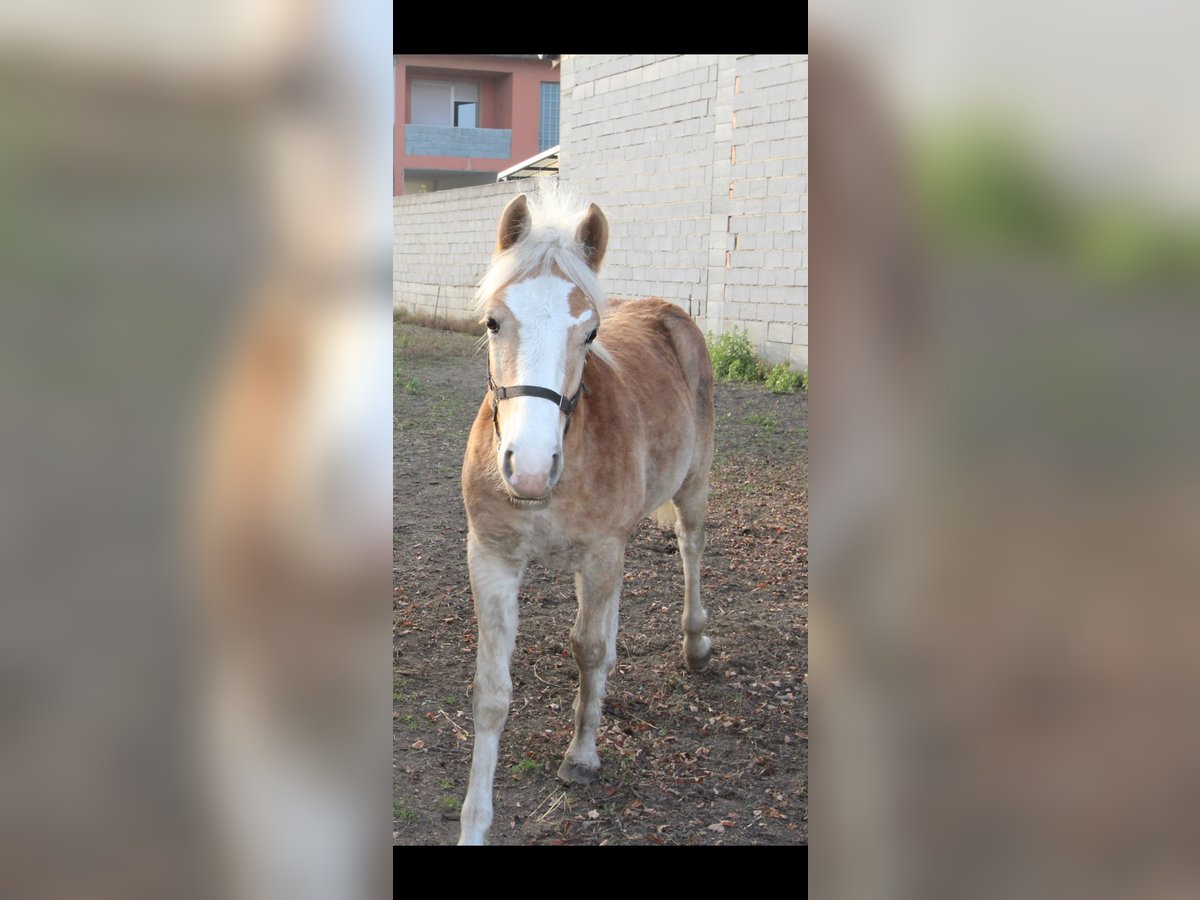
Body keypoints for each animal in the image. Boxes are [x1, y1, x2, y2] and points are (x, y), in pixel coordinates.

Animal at [458, 187, 715, 849]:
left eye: (590, 332)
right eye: (494, 321)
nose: (528, 468)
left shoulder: (600, 551)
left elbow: (587, 649)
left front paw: (581, 753)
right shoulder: (491, 558)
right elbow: (492, 692)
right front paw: (474, 823)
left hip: (692, 488)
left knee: (690, 549)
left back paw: (696, 644)